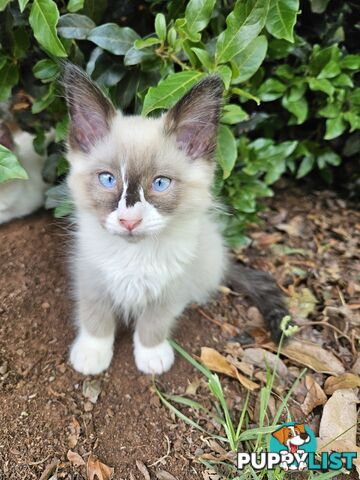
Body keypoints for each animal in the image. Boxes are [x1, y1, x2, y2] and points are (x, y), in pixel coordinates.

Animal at [63, 63, 288, 376]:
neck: (134, 257)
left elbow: (154, 323)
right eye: (108, 179)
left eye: (160, 184)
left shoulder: (171, 288)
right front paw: (93, 353)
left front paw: (151, 355)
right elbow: (95, 315)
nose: (129, 221)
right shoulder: (91, 276)